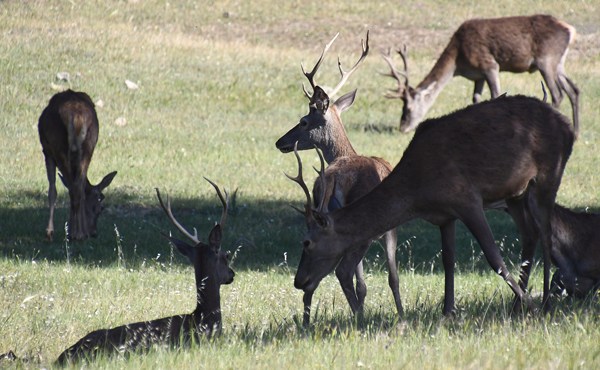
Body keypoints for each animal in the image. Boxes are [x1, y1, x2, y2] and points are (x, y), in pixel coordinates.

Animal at [38, 89, 117, 240]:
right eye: (101, 208)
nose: (94, 232)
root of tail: (76, 116)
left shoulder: (47, 152)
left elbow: (53, 190)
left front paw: (50, 231)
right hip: (89, 146)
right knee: (78, 187)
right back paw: (80, 233)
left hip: (59, 147)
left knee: (73, 188)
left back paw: (75, 233)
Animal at [276, 32, 404, 326]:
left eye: (303, 121)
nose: (280, 142)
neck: (345, 153)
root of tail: (334, 177)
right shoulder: (387, 229)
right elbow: (391, 279)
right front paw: (400, 315)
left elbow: (366, 283)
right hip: (362, 229)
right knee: (342, 272)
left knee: (317, 281)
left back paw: (308, 322)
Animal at [288, 94, 576, 316]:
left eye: (307, 242)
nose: (299, 280)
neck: (419, 193)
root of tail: (567, 125)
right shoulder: (445, 215)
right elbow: (448, 259)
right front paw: (448, 311)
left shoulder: (467, 199)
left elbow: (494, 258)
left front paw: (532, 306)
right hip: (517, 193)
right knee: (531, 234)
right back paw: (518, 304)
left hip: (550, 172)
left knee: (546, 234)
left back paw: (544, 302)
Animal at [382, 14, 580, 137]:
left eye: (408, 108)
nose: (402, 127)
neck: (459, 61)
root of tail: (570, 30)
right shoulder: (478, 76)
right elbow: (476, 98)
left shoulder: (489, 65)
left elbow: (495, 95)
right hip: (558, 63)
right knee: (574, 90)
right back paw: (576, 132)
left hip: (546, 60)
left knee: (557, 94)